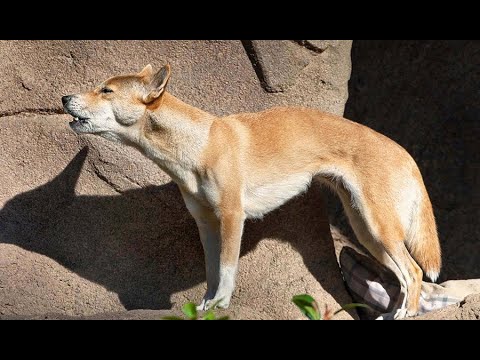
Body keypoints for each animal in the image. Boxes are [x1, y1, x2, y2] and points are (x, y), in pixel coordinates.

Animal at [62, 64, 442, 318]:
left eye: (106, 91)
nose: (65, 97)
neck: (199, 145)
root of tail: (403, 151)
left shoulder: (233, 216)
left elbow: (227, 269)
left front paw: (221, 303)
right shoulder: (206, 223)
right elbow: (212, 269)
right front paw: (207, 304)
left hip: (378, 227)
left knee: (414, 274)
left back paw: (403, 314)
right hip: (367, 230)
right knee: (404, 277)